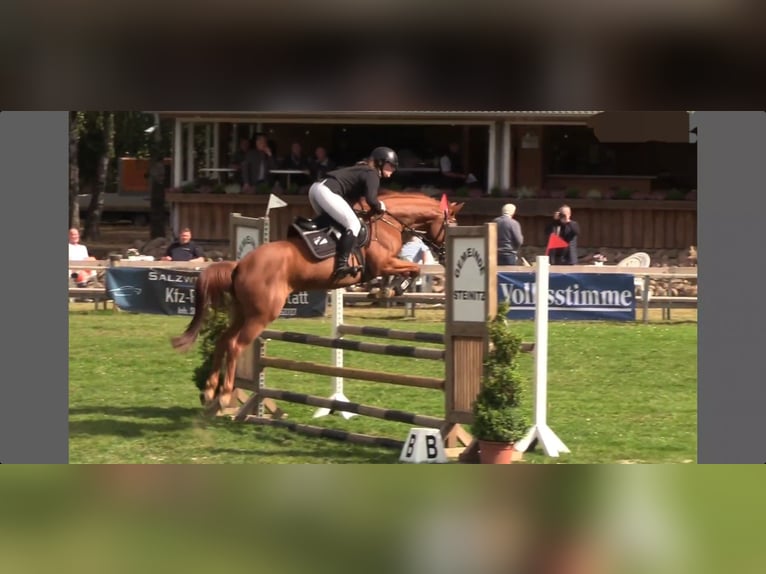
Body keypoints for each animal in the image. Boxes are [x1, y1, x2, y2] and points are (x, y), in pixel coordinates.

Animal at [171, 190, 465, 411]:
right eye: (451, 224)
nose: (445, 255)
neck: (386, 222)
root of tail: (240, 265)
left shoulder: (384, 265)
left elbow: (409, 270)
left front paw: (383, 292)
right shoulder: (383, 264)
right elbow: (411, 269)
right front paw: (389, 291)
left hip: (244, 312)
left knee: (222, 341)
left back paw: (209, 391)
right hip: (261, 316)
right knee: (234, 345)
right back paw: (223, 395)